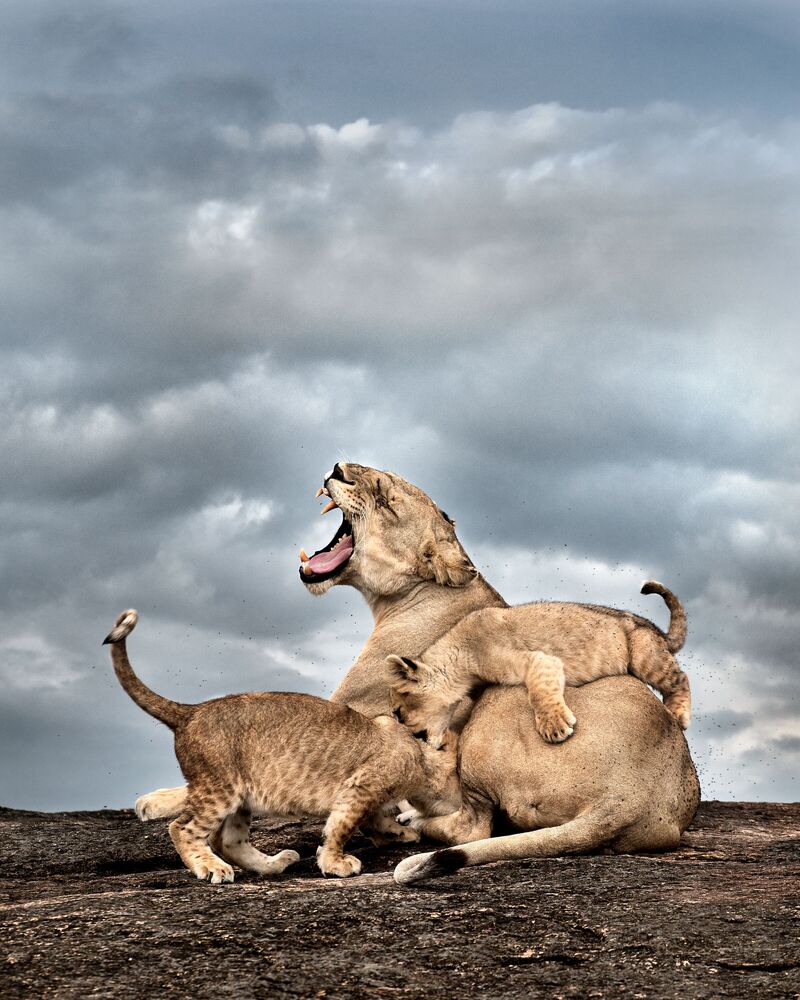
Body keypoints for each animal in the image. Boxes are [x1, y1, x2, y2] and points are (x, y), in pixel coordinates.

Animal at [136, 462, 700, 885]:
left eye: (384, 495)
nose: (337, 467)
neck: (405, 598)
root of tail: (629, 794)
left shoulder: (351, 714)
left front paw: (157, 800)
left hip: (486, 733)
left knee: (474, 827)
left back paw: (411, 823)